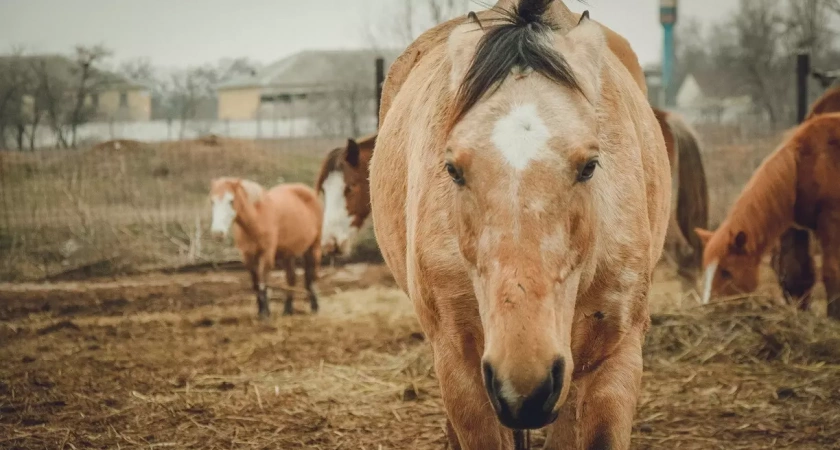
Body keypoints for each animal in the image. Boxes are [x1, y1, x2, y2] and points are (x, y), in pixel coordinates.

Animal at [212, 178, 324, 318]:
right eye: (212, 201)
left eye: (231, 201)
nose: (217, 233)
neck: (256, 220)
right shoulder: (248, 256)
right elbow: (255, 284)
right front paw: (261, 312)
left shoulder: (266, 254)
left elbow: (263, 283)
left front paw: (266, 313)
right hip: (288, 254)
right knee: (291, 278)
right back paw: (287, 310)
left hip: (314, 247)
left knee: (310, 276)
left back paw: (315, 307)